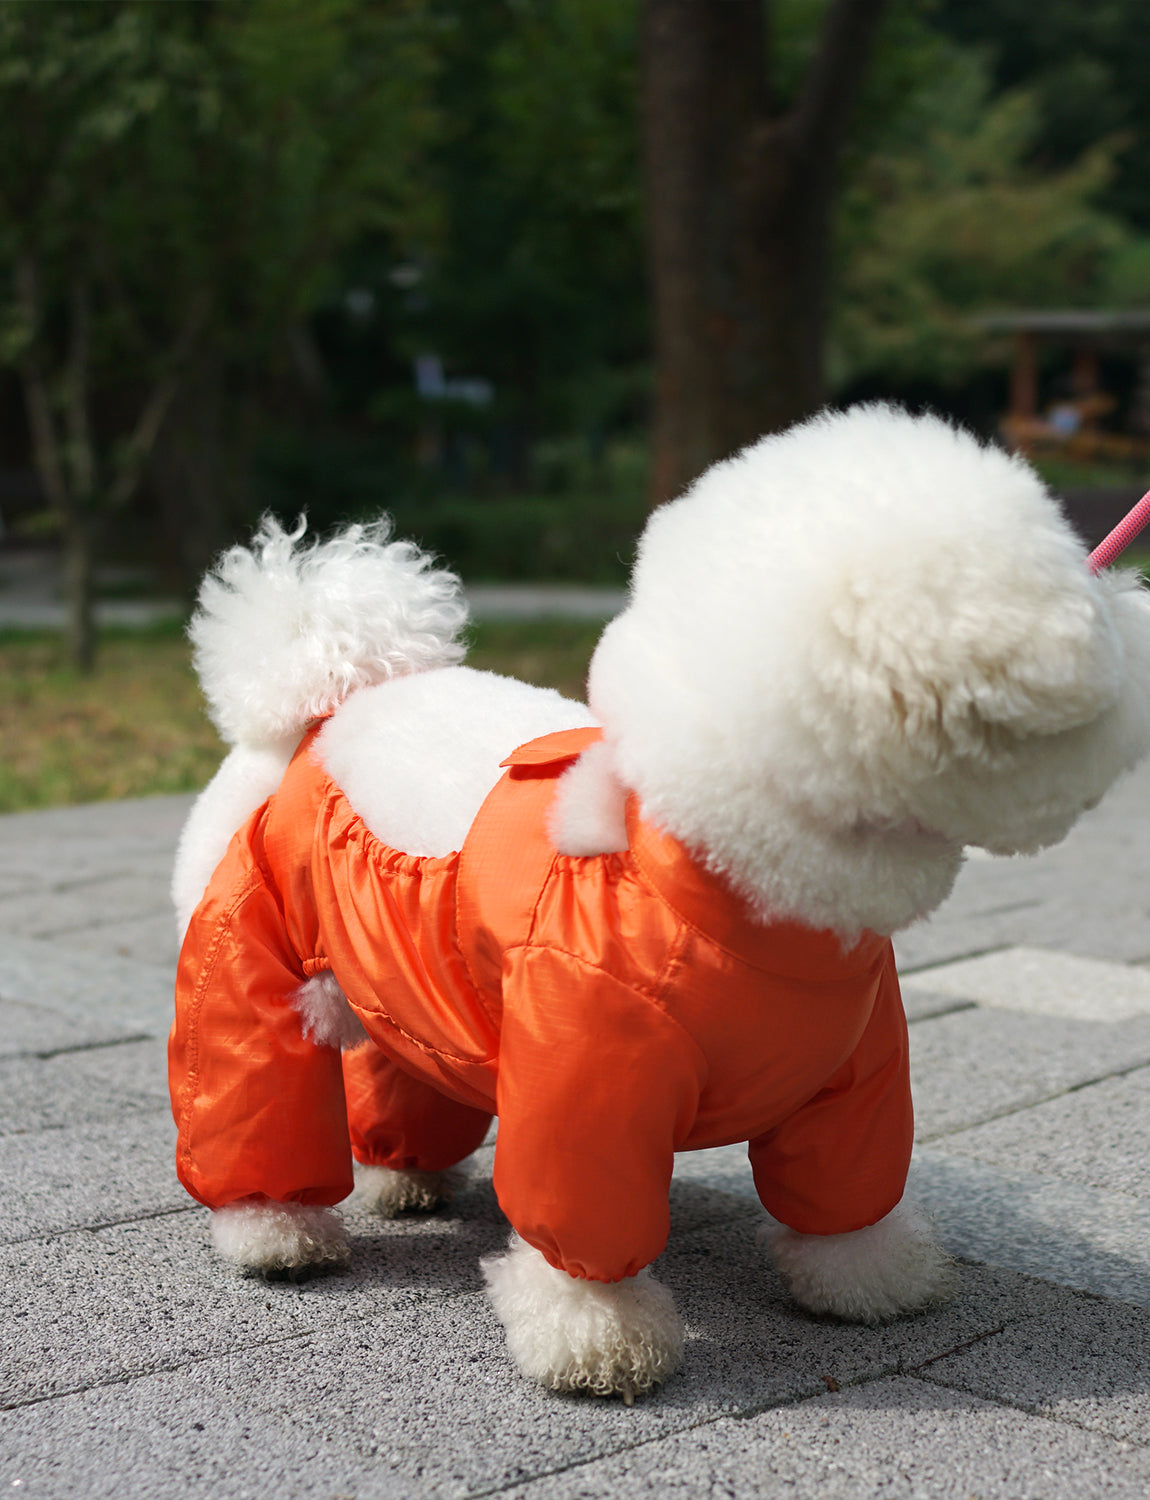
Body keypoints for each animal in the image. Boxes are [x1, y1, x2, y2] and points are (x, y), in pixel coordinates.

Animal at [170, 405, 1150, 1398]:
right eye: (1071, 582)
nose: (1131, 597)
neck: (725, 891)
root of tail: (327, 705)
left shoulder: (855, 1079)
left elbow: (848, 1191)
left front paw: (868, 1279)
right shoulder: (588, 1081)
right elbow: (584, 1228)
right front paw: (596, 1339)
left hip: (401, 977)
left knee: (400, 1060)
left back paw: (404, 1176)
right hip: (248, 936)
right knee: (248, 1087)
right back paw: (276, 1230)